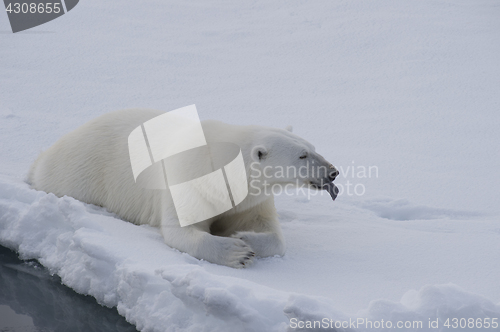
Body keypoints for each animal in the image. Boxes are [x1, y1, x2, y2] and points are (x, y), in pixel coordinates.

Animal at [28, 109, 340, 268]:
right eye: (302, 156)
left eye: (312, 147)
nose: (333, 172)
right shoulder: (189, 180)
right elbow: (181, 230)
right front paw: (237, 251)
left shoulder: (250, 200)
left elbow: (270, 232)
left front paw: (245, 237)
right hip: (80, 172)